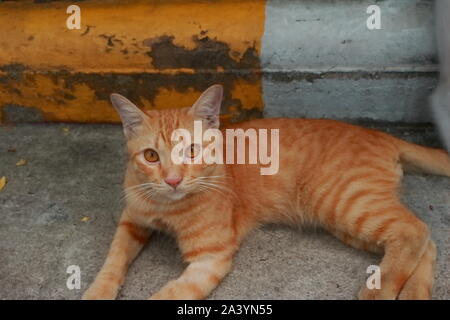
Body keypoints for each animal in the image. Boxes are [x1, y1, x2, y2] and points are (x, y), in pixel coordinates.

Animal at [82, 84, 448, 298]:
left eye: (193, 151)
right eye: (151, 156)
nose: (172, 180)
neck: (167, 208)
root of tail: (379, 134)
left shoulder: (210, 257)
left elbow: (167, 295)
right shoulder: (132, 221)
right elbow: (112, 260)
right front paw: (98, 291)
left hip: (346, 204)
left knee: (415, 230)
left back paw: (380, 291)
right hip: (346, 222)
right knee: (423, 241)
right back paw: (415, 293)